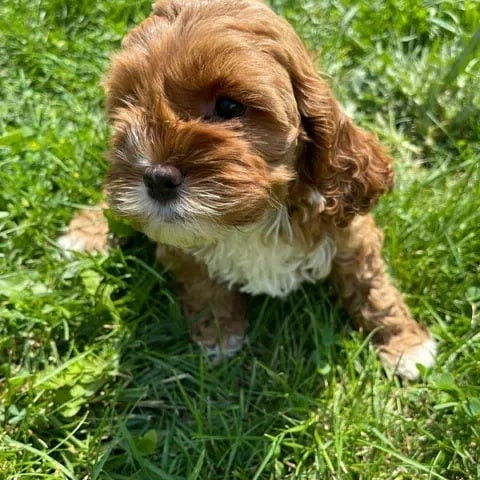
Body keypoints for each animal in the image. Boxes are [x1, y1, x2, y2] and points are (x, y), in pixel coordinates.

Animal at [59, 0, 436, 380]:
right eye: (129, 104)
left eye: (229, 107)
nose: (156, 178)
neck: (256, 215)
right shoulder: (179, 248)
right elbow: (205, 287)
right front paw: (219, 333)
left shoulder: (352, 235)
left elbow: (371, 286)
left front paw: (404, 344)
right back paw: (87, 234)